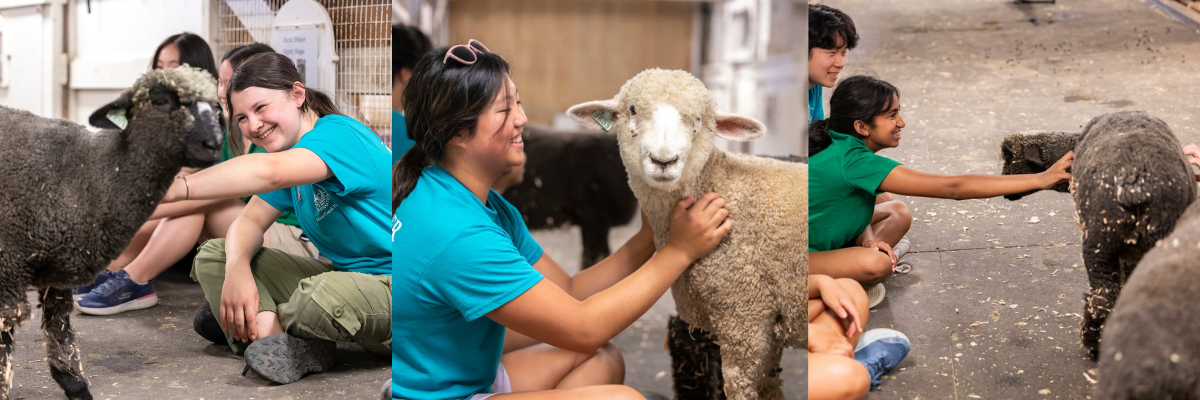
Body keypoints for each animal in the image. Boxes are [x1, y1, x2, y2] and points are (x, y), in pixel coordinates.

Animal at [0, 66, 222, 400]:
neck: (92, 174)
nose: (215, 144)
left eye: (217, 106)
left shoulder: (57, 268)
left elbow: (59, 321)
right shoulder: (8, 267)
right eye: (160, 100)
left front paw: (74, 383)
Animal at [568, 68, 807, 400]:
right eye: (632, 110)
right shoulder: (768, 322)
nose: (663, 161)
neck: (721, 185)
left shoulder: (744, 314)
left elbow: (739, 385)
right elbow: (770, 386)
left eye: (699, 118)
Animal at [999, 111, 1196, 359]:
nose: (1005, 191)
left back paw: (1093, 344)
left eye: (1010, 157)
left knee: (1102, 298)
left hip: (1099, 242)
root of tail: (1137, 187)